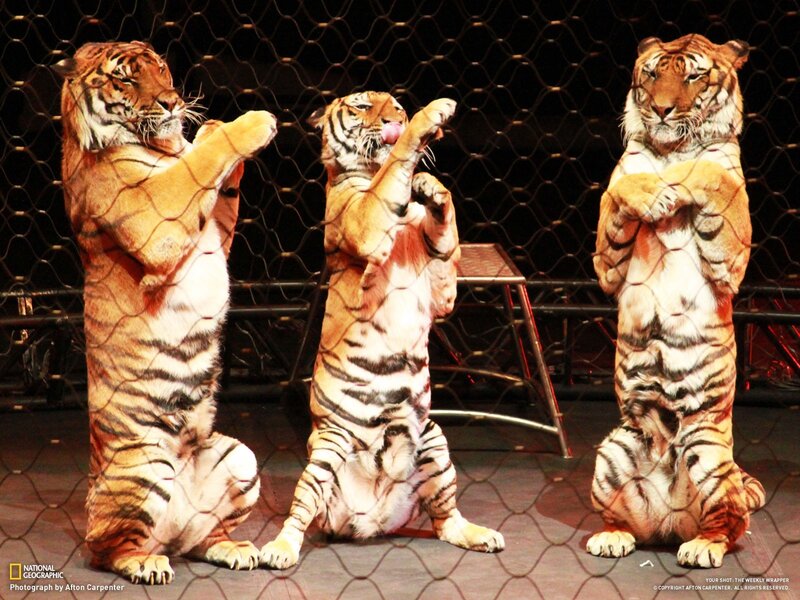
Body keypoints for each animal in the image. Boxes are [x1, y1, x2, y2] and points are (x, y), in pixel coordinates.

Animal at [53, 41, 277, 584]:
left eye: (161, 69)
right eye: (126, 80)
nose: (173, 102)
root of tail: (169, 536)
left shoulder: (215, 232)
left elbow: (220, 184)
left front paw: (212, 126)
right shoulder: (157, 216)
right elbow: (200, 166)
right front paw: (250, 123)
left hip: (238, 456)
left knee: (200, 539)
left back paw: (233, 549)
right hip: (144, 467)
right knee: (105, 549)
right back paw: (143, 563)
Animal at [260, 92, 505, 569]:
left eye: (396, 105)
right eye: (360, 106)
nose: (398, 116)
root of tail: (367, 520)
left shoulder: (440, 292)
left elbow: (444, 234)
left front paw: (430, 186)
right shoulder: (364, 219)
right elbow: (395, 167)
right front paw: (432, 115)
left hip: (433, 440)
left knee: (445, 519)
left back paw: (480, 535)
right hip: (328, 448)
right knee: (300, 512)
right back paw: (279, 551)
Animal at [588, 34, 765, 568]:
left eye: (693, 76)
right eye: (652, 74)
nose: (663, 110)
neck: (671, 149)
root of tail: (670, 520)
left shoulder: (733, 254)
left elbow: (708, 171)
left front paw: (677, 184)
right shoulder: (607, 265)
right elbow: (619, 187)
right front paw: (653, 194)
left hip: (708, 449)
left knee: (730, 525)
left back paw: (703, 548)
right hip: (616, 445)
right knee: (623, 520)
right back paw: (611, 537)